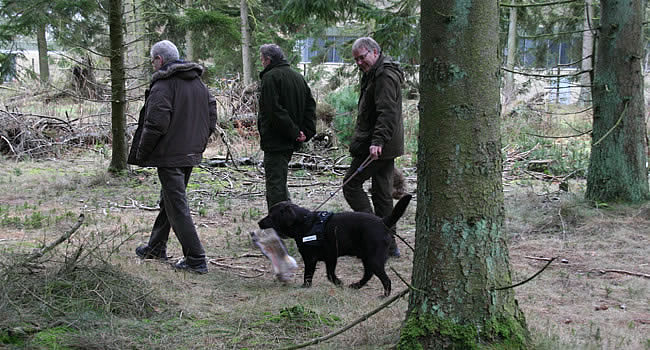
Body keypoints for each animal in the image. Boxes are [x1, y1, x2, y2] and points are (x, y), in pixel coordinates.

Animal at [254, 194, 410, 296]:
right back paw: (356, 286)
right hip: (367, 257)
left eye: (271, 215)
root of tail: (383, 222)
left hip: (373, 258)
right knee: (368, 274)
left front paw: (305, 287)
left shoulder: (311, 258)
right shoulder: (330, 257)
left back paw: (384, 295)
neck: (305, 222)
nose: (259, 222)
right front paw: (338, 283)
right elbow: (329, 274)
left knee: (385, 279)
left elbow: (309, 275)